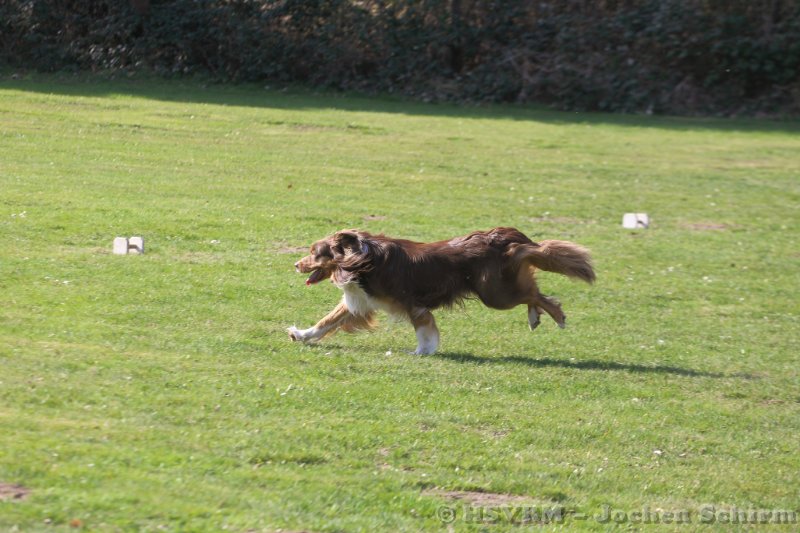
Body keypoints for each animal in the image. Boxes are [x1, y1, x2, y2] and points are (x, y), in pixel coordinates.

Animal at [288, 227, 594, 354]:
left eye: (314, 253)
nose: (295, 264)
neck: (360, 259)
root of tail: (502, 237)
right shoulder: (361, 301)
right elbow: (327, 321)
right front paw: (301, 335)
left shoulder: (414, 305)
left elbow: (424, 331)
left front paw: (422, 352)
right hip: (500, 289)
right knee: (532, 292)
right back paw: (535, 317)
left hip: (495, 294)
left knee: (535, 295)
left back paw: (556, 317)